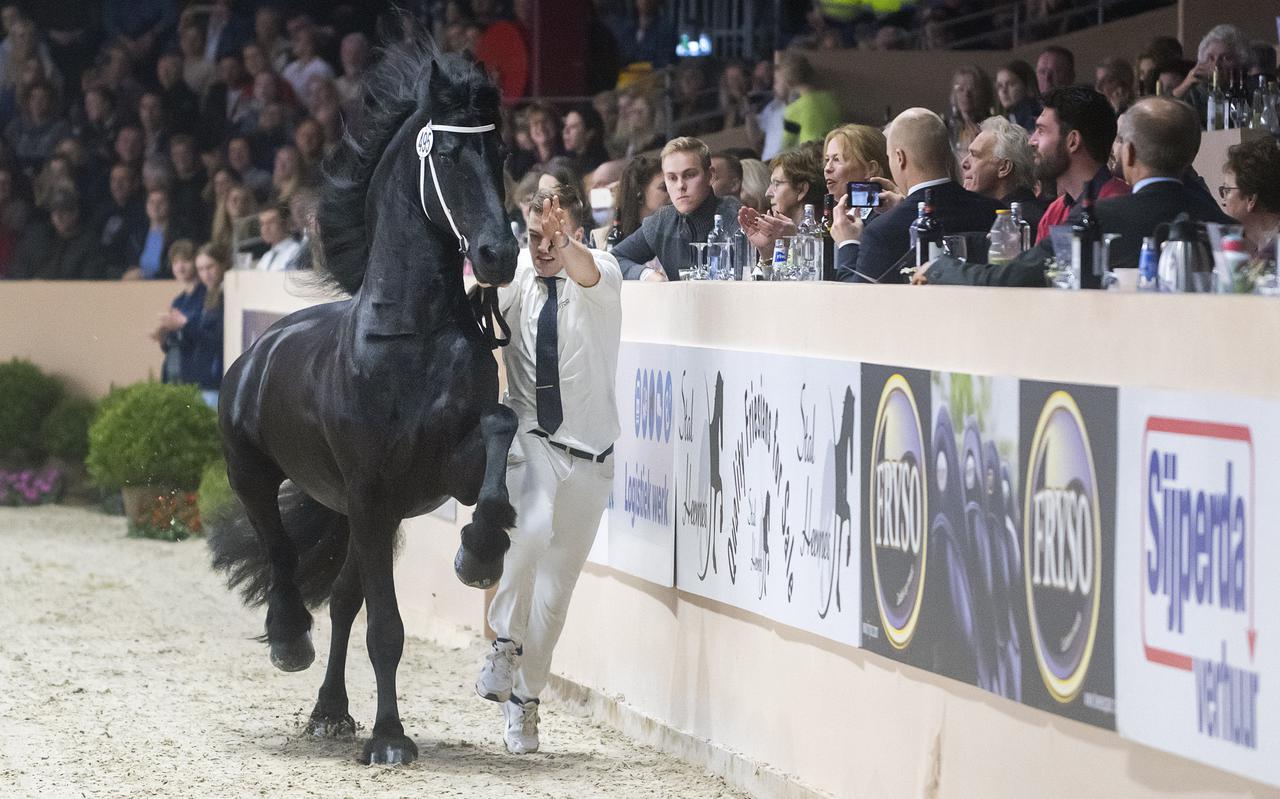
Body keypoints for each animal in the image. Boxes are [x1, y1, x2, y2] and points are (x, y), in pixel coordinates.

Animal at [207, 39, 517, 768]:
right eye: (448, 154)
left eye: (500, 152)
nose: (500, 254)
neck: (414, 337)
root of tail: (258, 353)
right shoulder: (373, 492)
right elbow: (388, 629)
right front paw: (391, 739)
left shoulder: (434, 479)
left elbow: (500, 428)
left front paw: (480, 554)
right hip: (257, 474)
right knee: (284, 556)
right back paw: (289, 640)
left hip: (358, 511)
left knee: (344, 598)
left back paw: (329, 711)